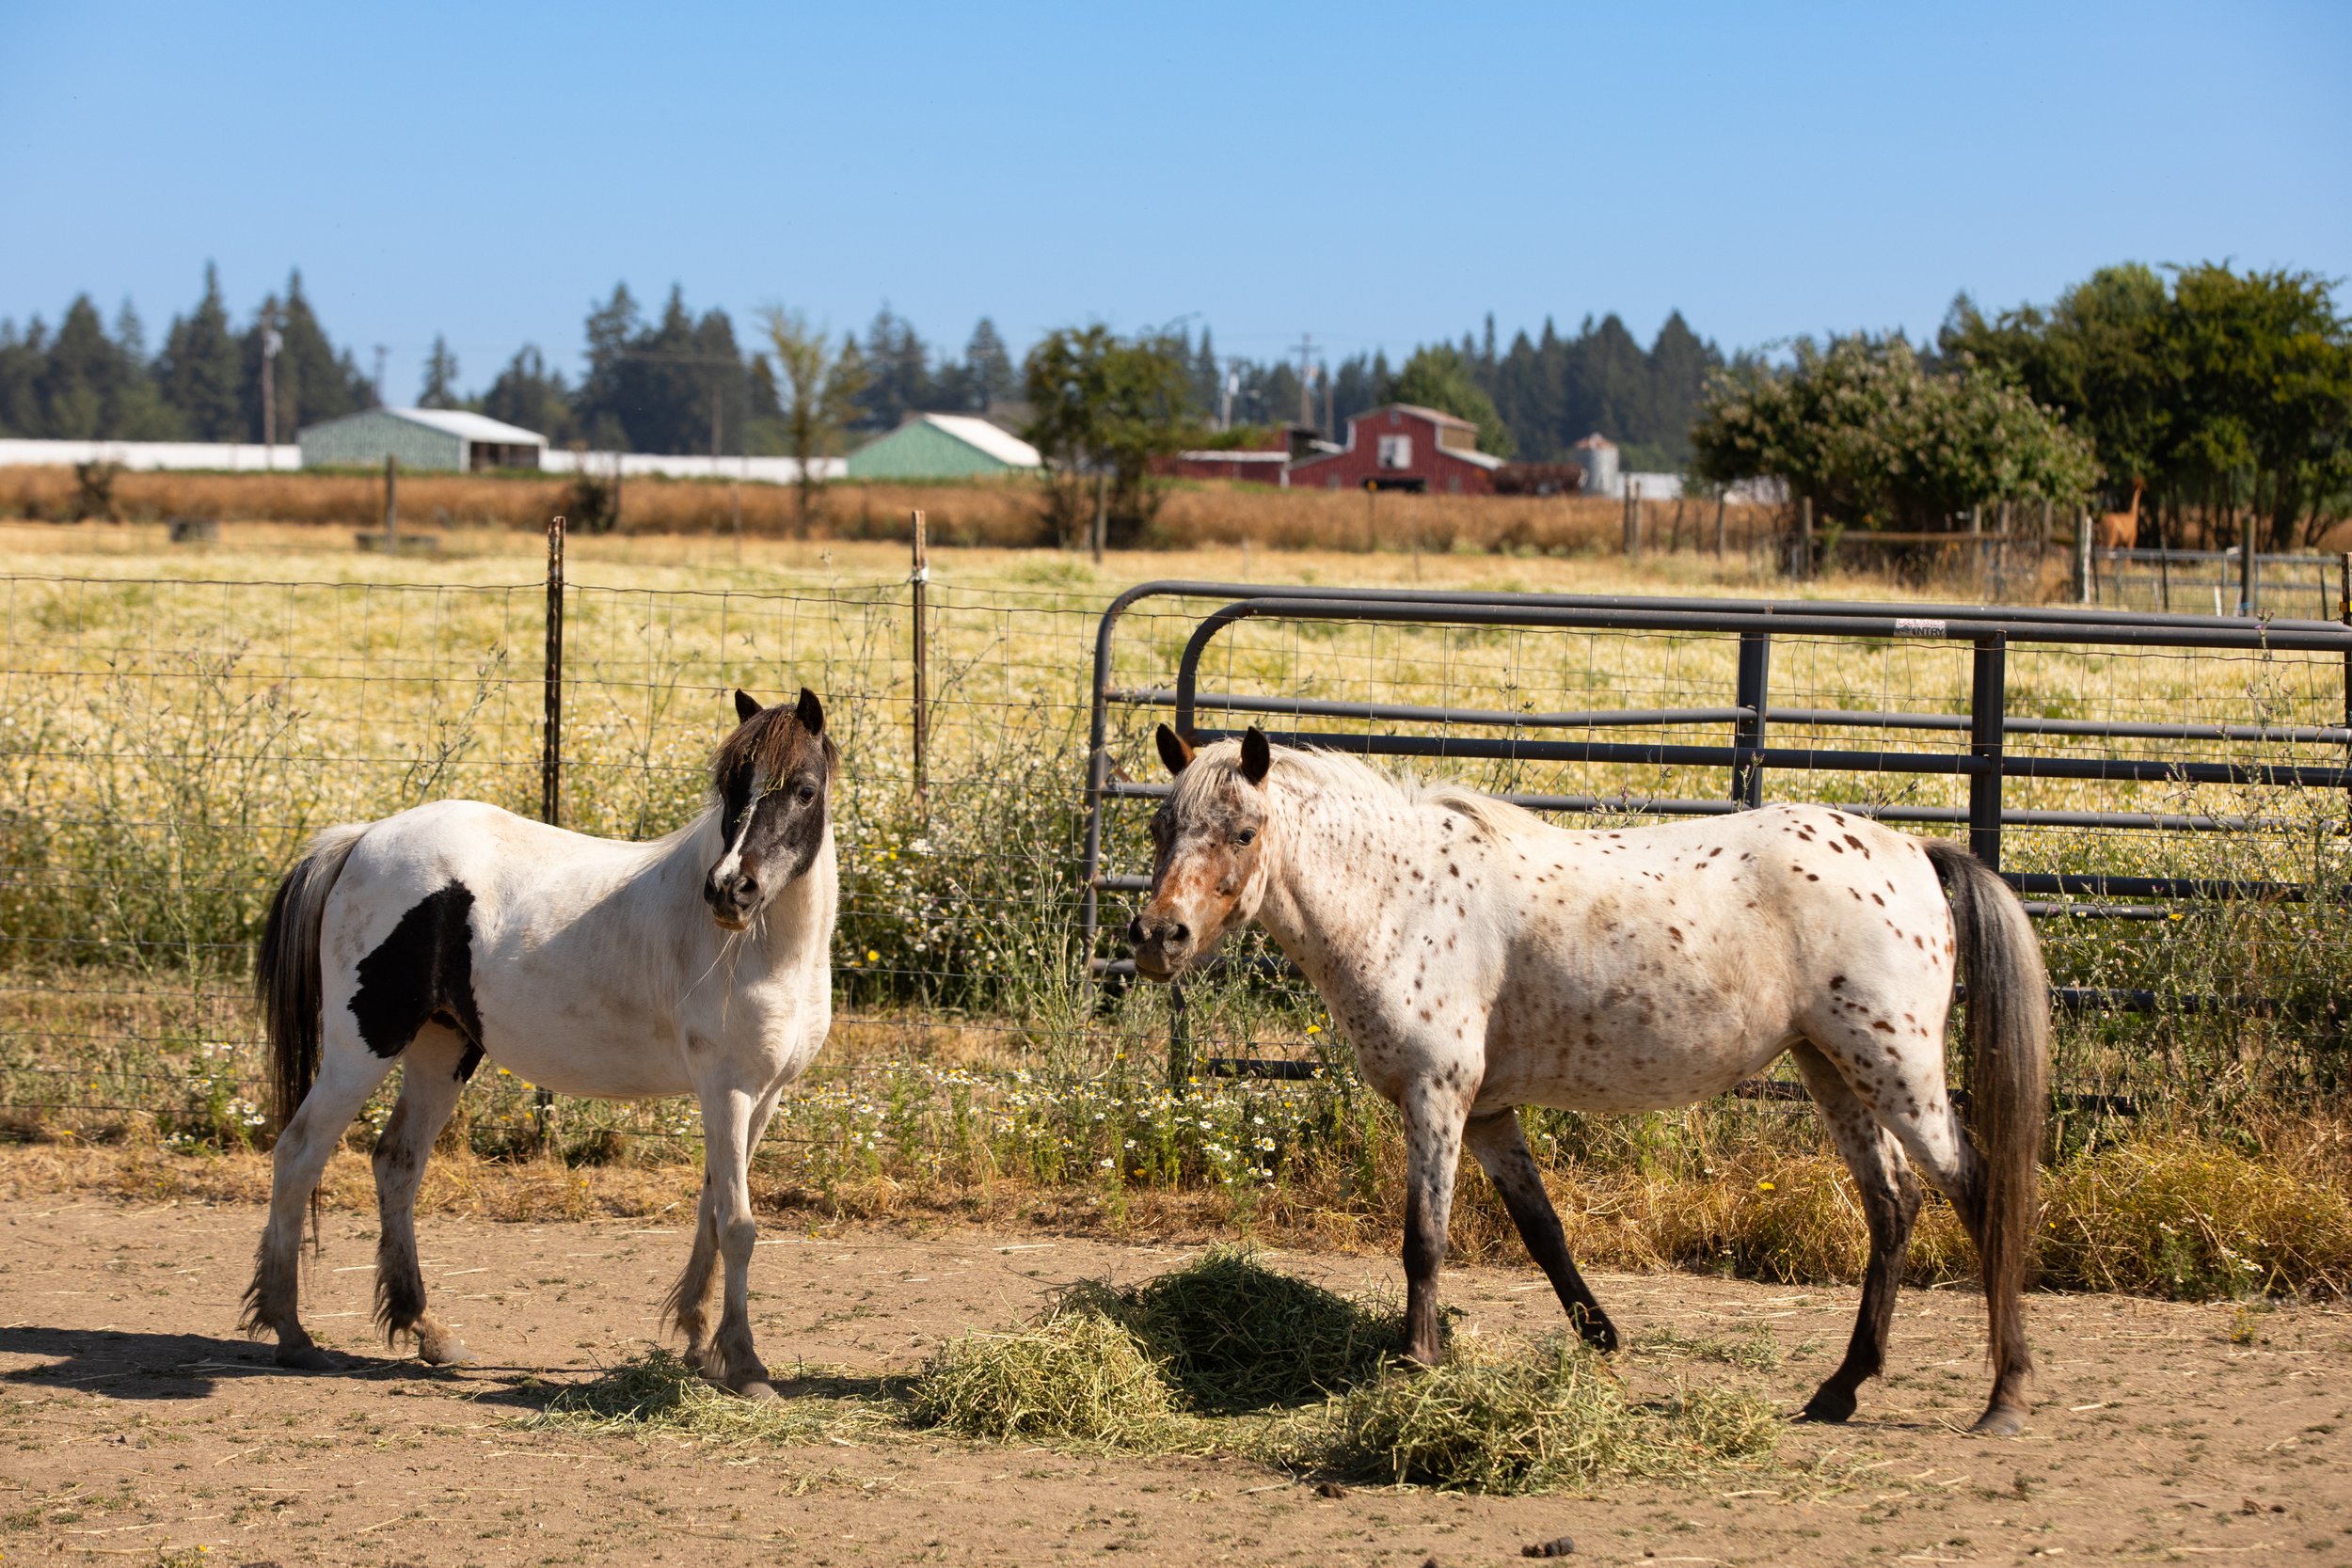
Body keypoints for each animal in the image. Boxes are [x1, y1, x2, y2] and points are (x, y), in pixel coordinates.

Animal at [241, 687, 839, 1398]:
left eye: (804, 789)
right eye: (729, 786)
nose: (729, 890)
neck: (760, 952)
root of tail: (361, 839)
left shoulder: (763, 1096)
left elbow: (712, 1213)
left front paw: (697, 1340)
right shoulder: (727, 1090)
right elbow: (739, 1225)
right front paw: (746, 1364)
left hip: (443, 1049)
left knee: (397, 1162)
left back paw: (426, 1330)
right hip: (362, 1046)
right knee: (298, 1155)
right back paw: (292, 1333)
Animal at [1128, 726, 2049, 1435]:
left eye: (1244, 831)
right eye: (1162, 824)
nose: (1158, 937)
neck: (1403, 898)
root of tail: (1915, 852)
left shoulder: (1438, 1096)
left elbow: (1423, 1238)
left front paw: (1416, 1362)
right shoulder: (1490, 1113)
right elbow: (1543, 1230)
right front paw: (1600, 1338)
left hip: (1895, 1068)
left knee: (1978, 1191)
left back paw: (2005, 1393)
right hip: (1832, 1070)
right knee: (1893, 1205)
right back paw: (1840, 1388)